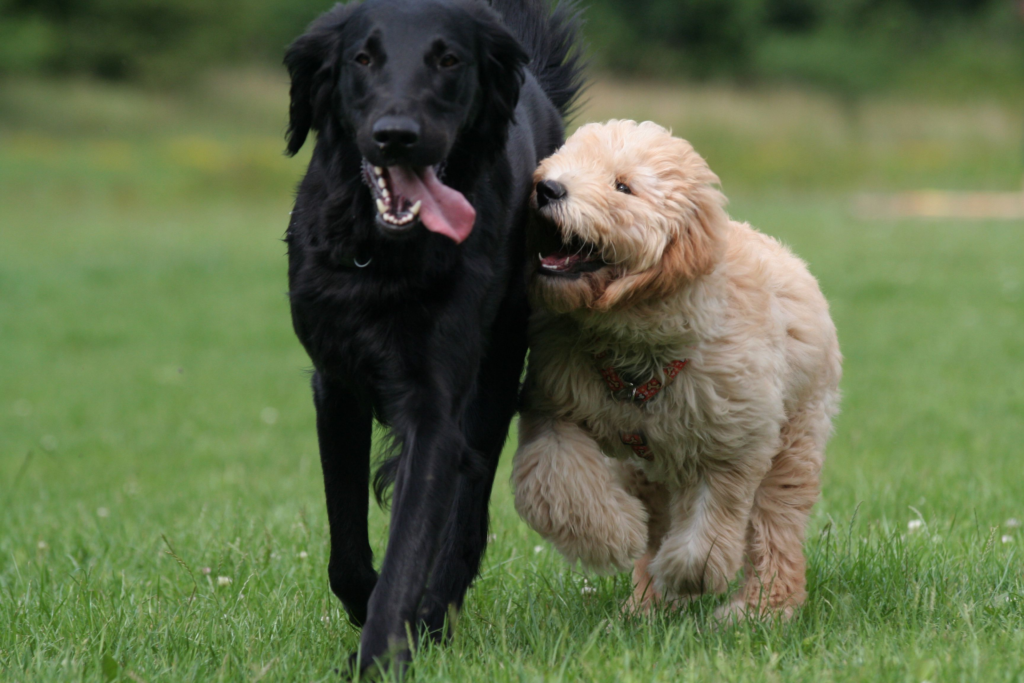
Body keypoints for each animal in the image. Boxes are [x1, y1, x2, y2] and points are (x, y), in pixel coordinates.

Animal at [284, 0, 585, 671]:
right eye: (362, 57)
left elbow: (411, 548)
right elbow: (346, 544)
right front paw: (365, 611)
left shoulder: (436, 408)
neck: (384, 254)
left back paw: (433, 617)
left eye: (448, 60)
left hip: (499, 368)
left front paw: (379, 656)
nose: (397, 133)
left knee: (467, 513)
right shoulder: (334, 388)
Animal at [512, 120, 839, 618]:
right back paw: (644, 605)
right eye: (558, 162)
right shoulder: (556, 405)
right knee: (658, 517)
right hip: (648, 469)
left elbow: (711, 521)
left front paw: (687, 575)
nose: (546, 188)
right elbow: (554, 480)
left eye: (622, 186)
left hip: (794, 438)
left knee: (775, 525)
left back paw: (761, 609)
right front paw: (613, 537)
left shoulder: (733, 440)